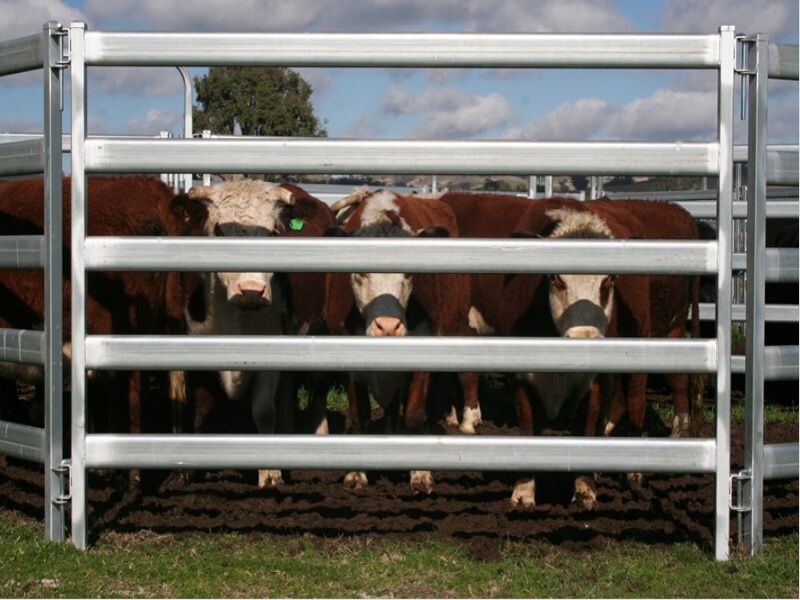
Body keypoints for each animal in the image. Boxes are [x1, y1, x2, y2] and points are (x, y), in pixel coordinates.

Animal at [170, 178, 336, 488]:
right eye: (220, 231)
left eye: (272, 233)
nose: (251, 291)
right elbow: (194, 407)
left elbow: (264, 410)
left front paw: (269, 472)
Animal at [324, 190, 478, 494]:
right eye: (359, 273)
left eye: (408, 273)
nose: (388, 326)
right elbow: (358, 414)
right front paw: (357, 474)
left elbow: (415, 414)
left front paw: (420, 473)